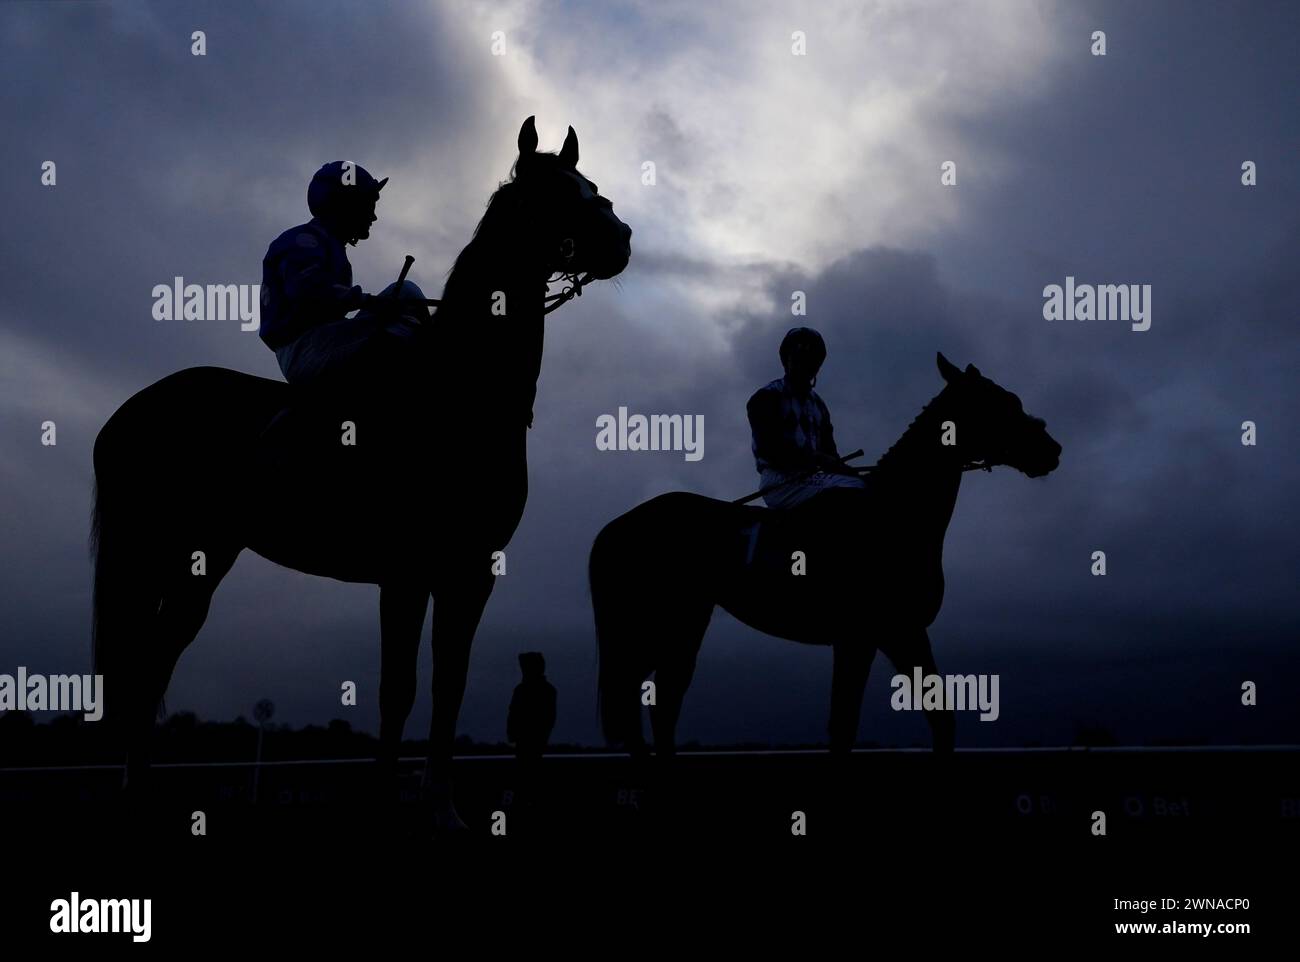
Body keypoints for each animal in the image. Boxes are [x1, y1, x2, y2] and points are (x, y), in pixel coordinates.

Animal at [94, 118, 631, 826]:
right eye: (553, 194)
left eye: (590, 184)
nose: (623, 240)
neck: (458, 397)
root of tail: (131, 411)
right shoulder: (405, 572)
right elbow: (396, 688)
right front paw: (384, 804)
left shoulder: (469, 573)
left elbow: (449, 682)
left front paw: (442, 806)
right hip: (151, 550)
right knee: (142, 662)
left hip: (202, 558)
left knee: (156, 657)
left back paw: (141, 792)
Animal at [590, 356, 1055, 759]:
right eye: (1001, 403)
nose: (1052, 449)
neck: (893, 516)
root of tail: (617, 525)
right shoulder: (862, 636)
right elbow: (844, 724)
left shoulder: (902, 633)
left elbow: (939, 718)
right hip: (661, 625)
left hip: (683, 624)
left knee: (659, 701)